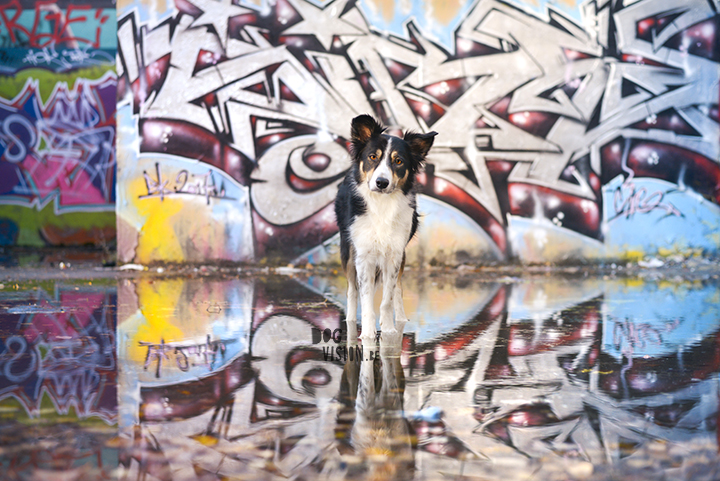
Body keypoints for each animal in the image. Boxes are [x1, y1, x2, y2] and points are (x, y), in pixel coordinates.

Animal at [334, 115, 436, 342]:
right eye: (373, 157)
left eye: (399, 161)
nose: (381, 182)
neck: (382, 204)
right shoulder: (363, 255)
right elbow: (365, 296)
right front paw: (368, 333)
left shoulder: (394, 254)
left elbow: (388, 297)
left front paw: (388, 329)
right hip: (348, 249)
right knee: (352, 290)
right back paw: (351, 321)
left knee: (397, 287)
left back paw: (401, 319)